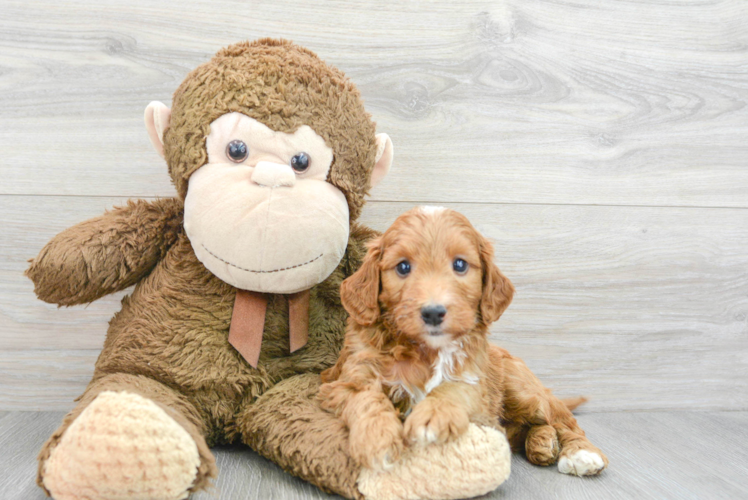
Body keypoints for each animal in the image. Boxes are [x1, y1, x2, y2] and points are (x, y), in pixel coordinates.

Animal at [320, 207, 608, 476]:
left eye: (459, 265)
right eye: (403, 267)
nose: (433, 312)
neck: (424, 350)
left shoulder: (474, 376)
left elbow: (454, 389)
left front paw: (432, 416)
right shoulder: (348, 378)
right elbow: (367, 400)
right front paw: (377, 438)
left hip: (522, 387)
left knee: (562, 419)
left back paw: (580, 453)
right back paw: (542, 443)